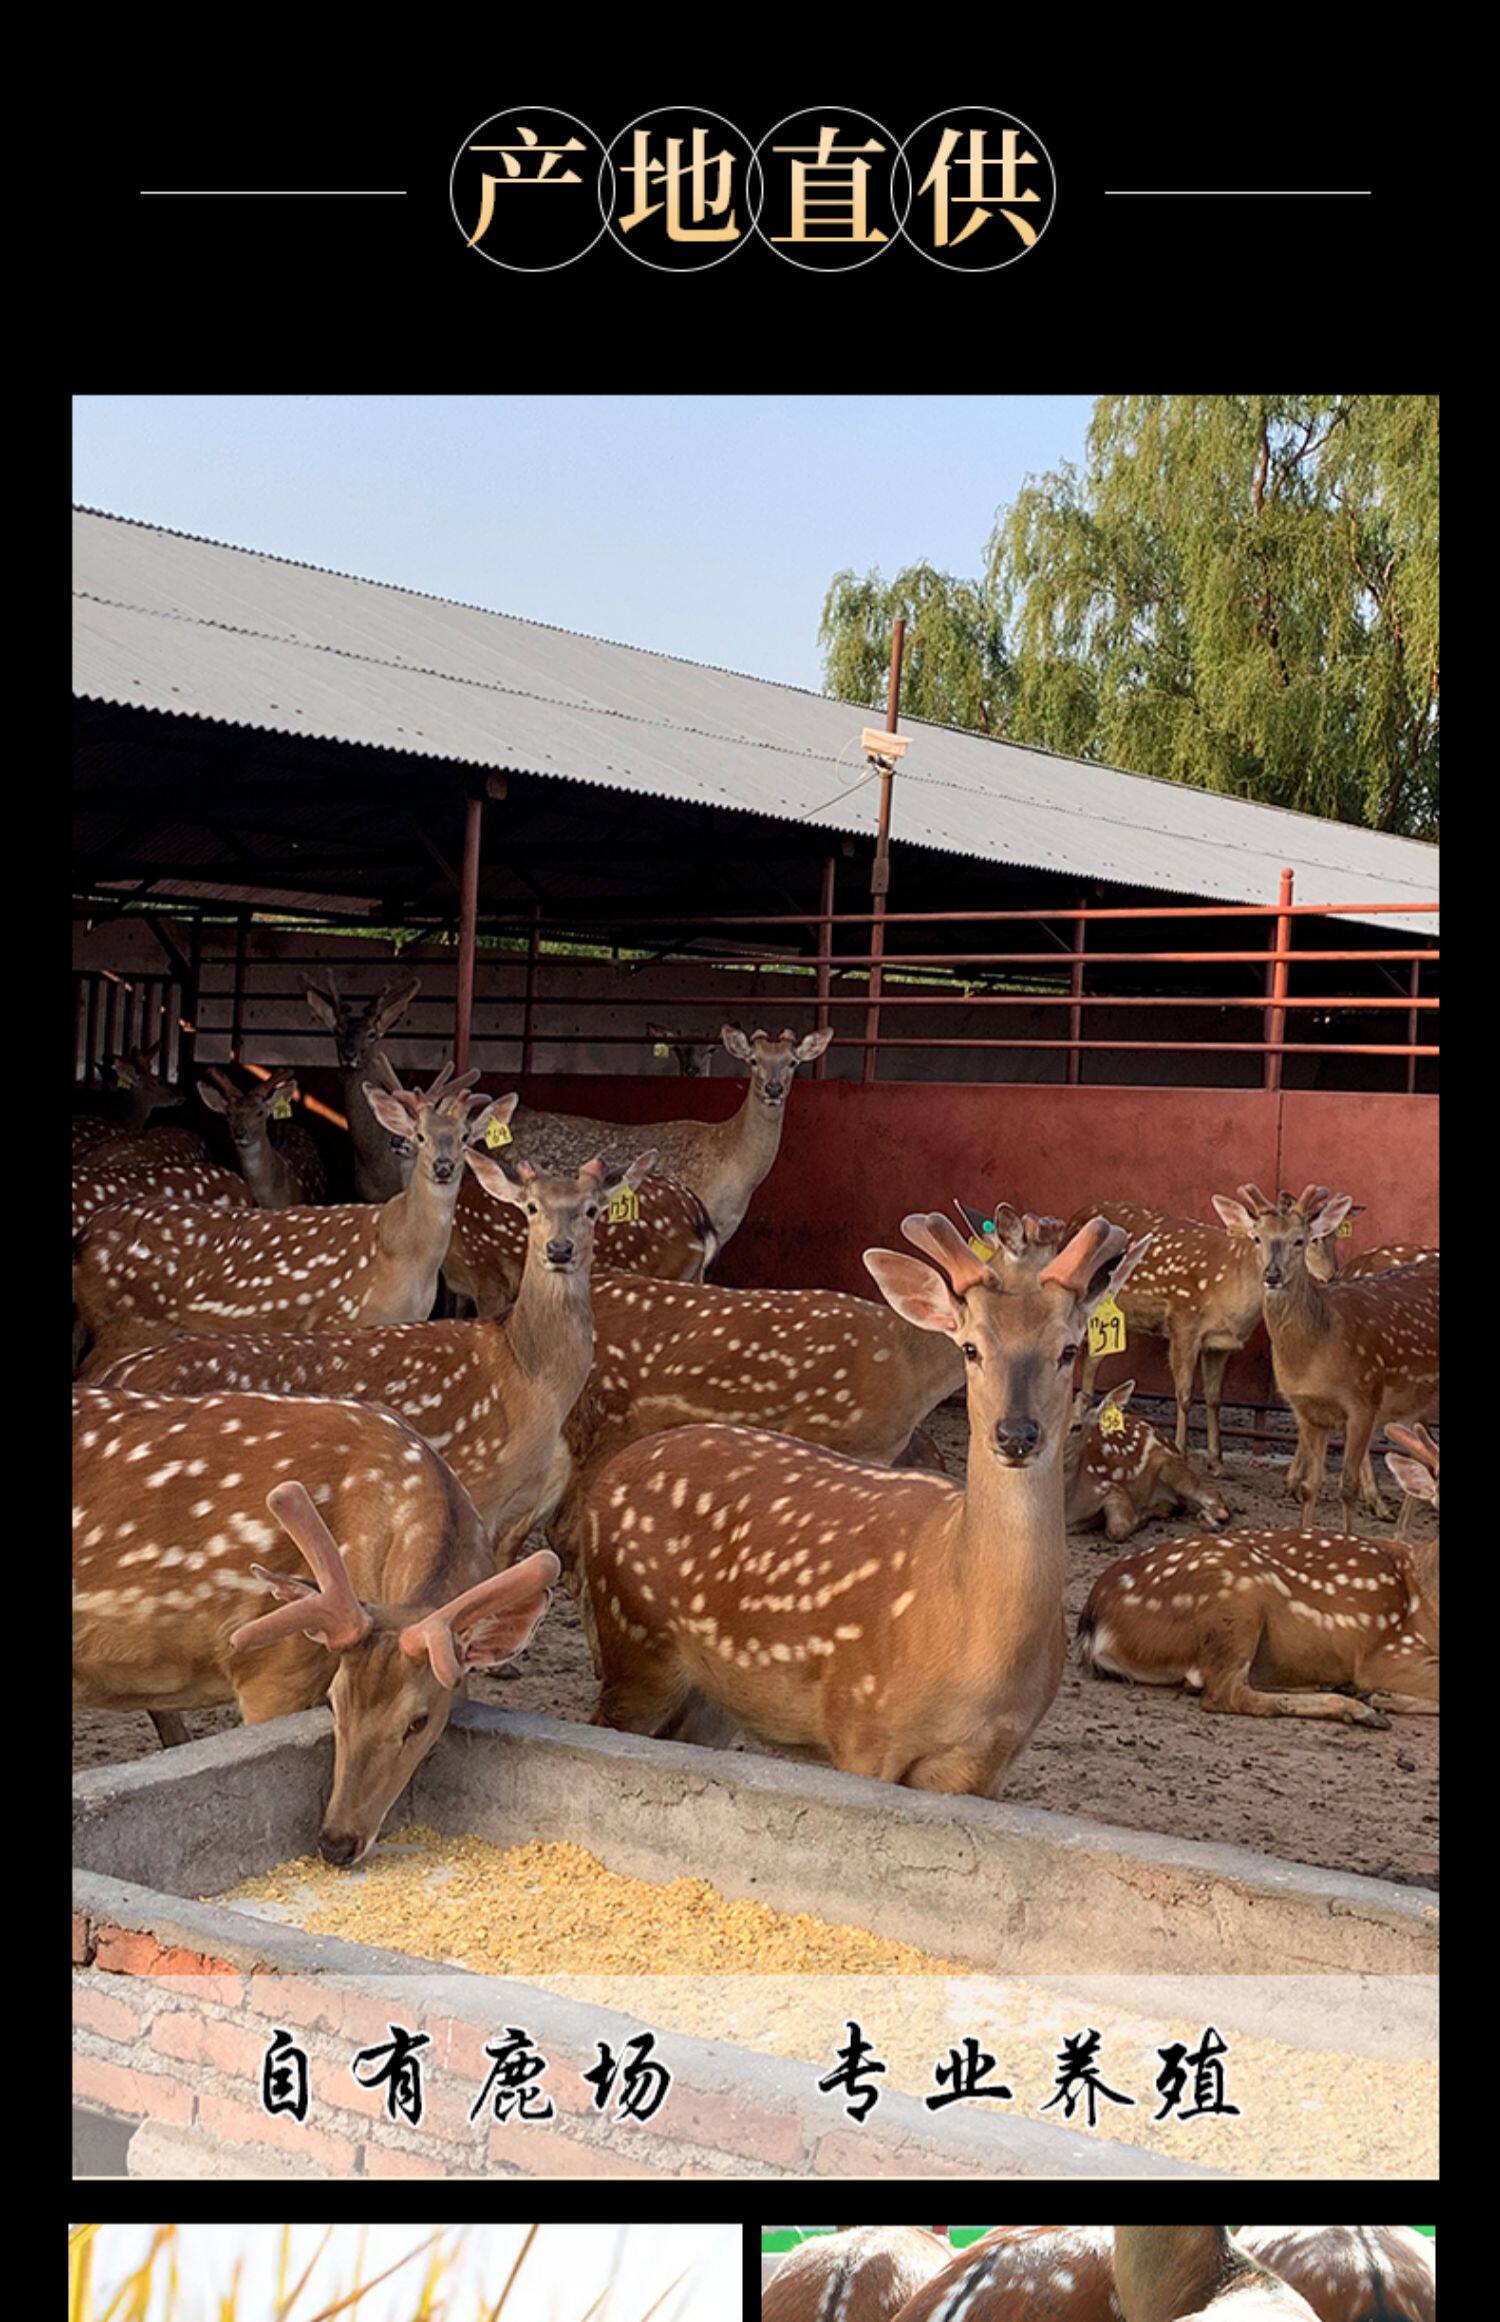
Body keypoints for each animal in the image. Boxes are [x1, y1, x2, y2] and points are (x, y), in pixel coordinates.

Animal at [99, 1148, 658, 1561]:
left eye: (592, 1209)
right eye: (531, 1207)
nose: (559, 1250)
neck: (530, 1379)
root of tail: (116, 1373)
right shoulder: (476, 1482)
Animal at [578, 1211, 1147, 1793]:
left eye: (1069, 1349)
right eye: (971, 1347)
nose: (1016, 1434)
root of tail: (615, 1474)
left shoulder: (990, 1761)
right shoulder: (862, 1722)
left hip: (715, 1693)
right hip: (637, 1642)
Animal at [1065, 1378, 1230, 1541]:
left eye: (1077, 1426)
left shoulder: (1110, 1487)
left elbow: (1117, 1530)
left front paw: (1138, 1520)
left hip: (1170, 1466)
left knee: (1217, 1503)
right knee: (1180, 1504)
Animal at [1211, 1184, 1440, 1528]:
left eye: (1300, 1240)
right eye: (1257, 1237)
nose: (1272, 1275)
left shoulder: (1363, 1402)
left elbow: (1347, 1487)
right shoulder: (1306, 1410)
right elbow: (1312, 1485)